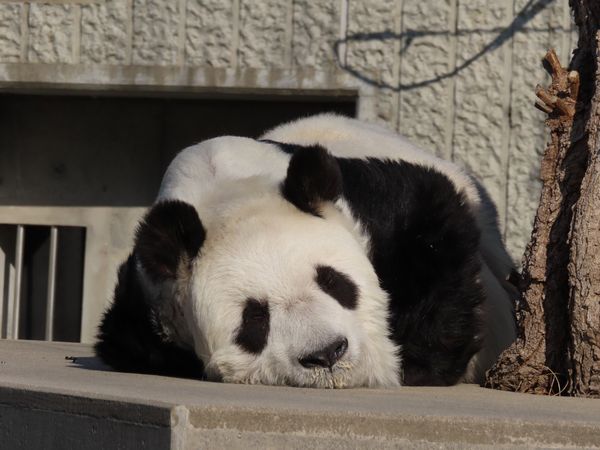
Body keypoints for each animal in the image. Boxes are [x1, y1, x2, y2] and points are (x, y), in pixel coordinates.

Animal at [96, 112, 516, 386]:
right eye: (255, 318)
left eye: (335, 283)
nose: (328, 354)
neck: (224, 192)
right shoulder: (148, 296)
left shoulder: (375, 204)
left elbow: (436, 230)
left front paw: (412, 363)